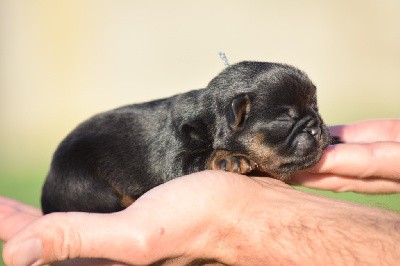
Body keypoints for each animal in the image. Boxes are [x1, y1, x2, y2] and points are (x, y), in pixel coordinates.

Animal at [40, 60, 334, 214]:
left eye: (316, 108)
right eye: (286, 117)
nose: (317, 126)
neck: (208, 119)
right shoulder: (175, 157)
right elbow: (198, 158)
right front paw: (229, 158)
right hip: (83, 181)